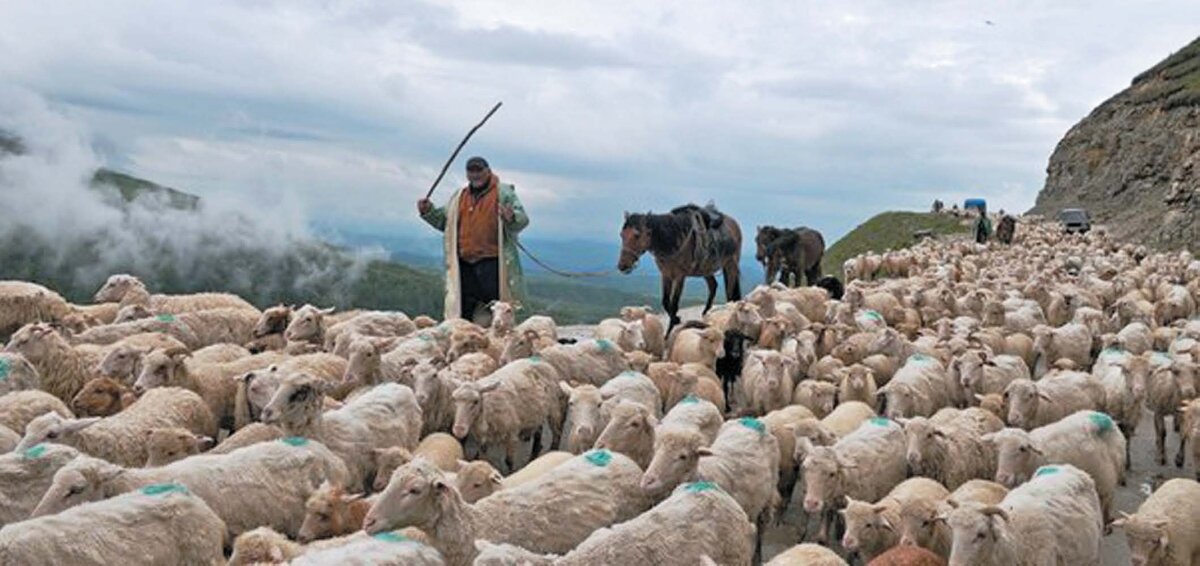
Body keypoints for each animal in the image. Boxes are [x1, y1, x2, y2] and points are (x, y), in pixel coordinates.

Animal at [619, 205, 739, 333]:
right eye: (622, 234)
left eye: (636, 235)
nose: (622, 266)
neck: (672, 240)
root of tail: (734, 224)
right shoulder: (666, 275)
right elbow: (666, 302)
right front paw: (676, 319)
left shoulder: (680, 277)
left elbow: (674, 304)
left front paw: (671, 329)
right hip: (705, 269)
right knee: (713, 285)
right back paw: (706, 313)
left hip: (731, 265)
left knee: (730, 292)